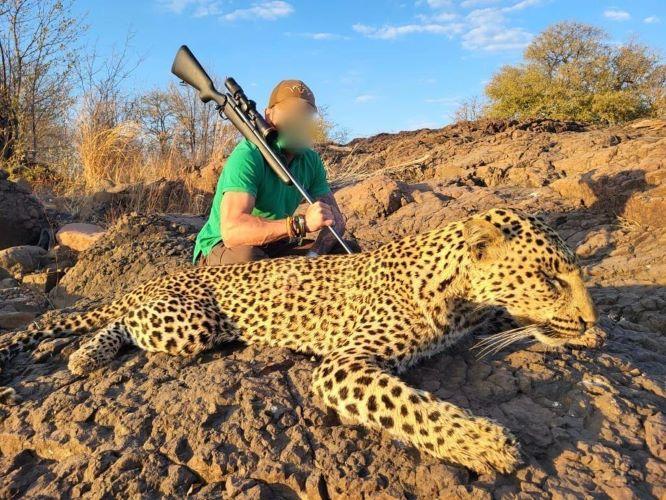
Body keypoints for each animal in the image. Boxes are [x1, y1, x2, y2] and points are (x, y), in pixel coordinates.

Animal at [0, 208, 599, 475]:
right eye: (550, 276)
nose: (593, 323)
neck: (456, 293)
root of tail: (156, 277)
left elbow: (506, 319)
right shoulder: (343, 364)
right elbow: (415, 408)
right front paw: (486, 442)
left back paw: (83, 355)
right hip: (189, 322)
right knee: (127, 321)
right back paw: (85, 353)